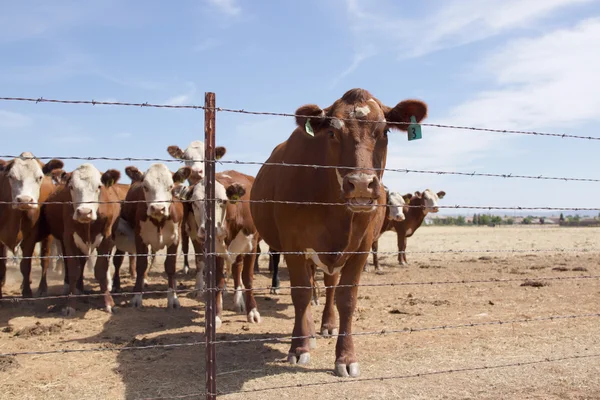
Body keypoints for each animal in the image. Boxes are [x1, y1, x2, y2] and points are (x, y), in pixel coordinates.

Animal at [0, 152, 63, 298]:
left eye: (39, 177)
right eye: (11, 176)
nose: (24, 200)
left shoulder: (30, 236)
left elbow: (26, 265)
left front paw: (27, 292)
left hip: (47, 238)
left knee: (44, 260)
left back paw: (42, 288)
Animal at [40, 161, 122, 314]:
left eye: (99, 186)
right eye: (71, 187)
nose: (84, 212)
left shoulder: (106, 238)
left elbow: (101, 270)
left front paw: (109, 303)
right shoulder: (69, 238)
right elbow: (73, 270)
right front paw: (70, 304)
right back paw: (72, 287)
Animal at [120, 162, 190, 310]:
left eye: (170, 186)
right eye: (145, 187)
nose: (158, 208)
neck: (159, 221)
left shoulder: (175, 239)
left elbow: (170, 266)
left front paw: (173, 297)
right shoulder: (140, 238)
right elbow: (141, 265)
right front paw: (137, 297)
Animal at [166, 140, 225, 276]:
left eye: (207, 156)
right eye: (185, 157)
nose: (197, 171)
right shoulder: (191, 228)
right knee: (185, 246)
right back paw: (186, 267)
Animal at [248, 88, 426, 378]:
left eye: (385, 132)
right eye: (332, 133)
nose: (362, 185)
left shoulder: (361, 248)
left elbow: (346, 299)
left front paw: (345, 356)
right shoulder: (293, 245)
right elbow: (301, 294)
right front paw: (299, 347)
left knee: (329, 285)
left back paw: (327, 325)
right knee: (308, 286)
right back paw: (308, 332)